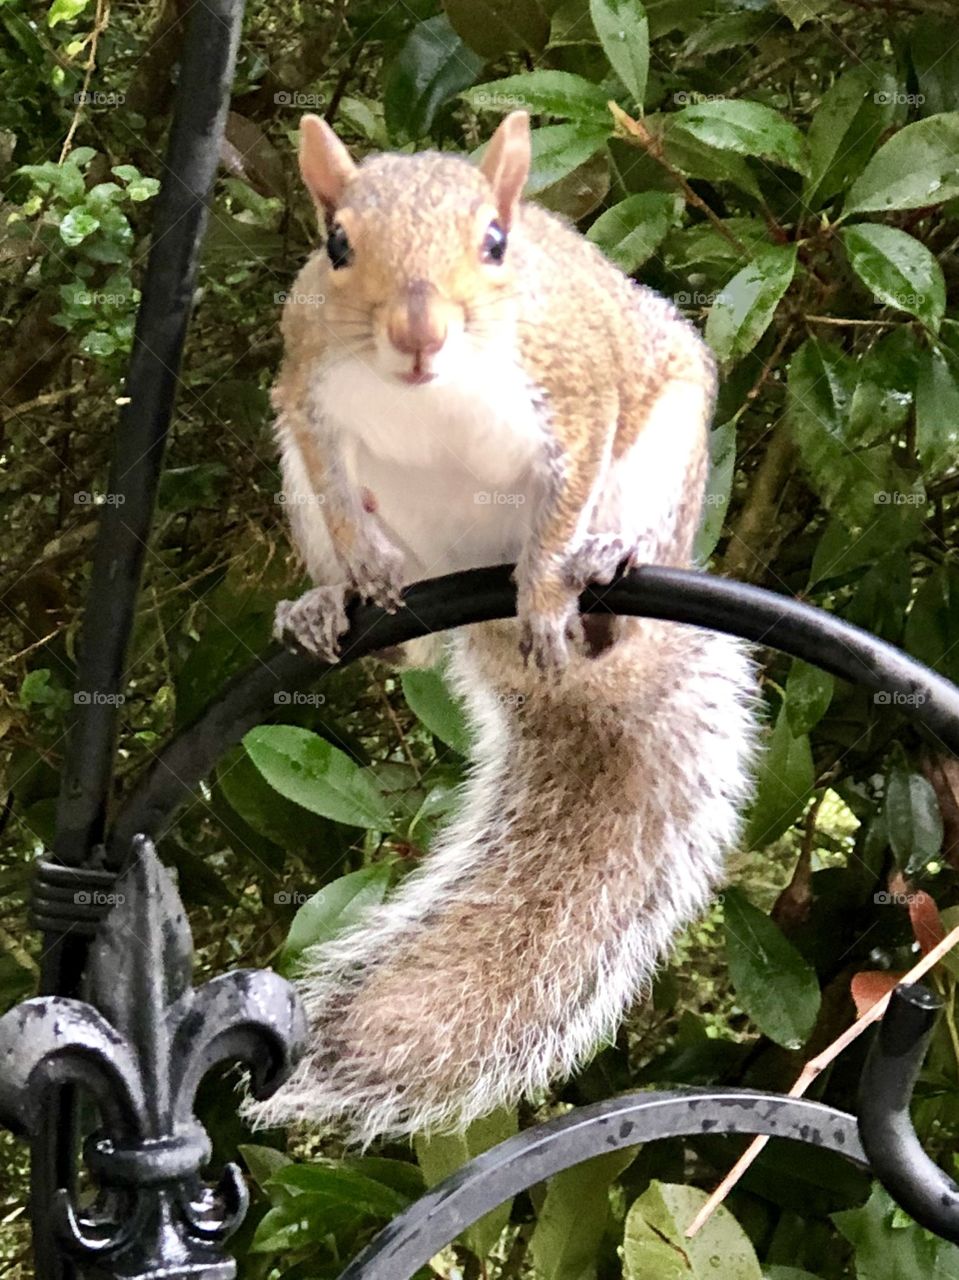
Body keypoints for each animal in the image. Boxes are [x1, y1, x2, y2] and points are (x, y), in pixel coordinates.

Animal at [250, 111, 757, 1146]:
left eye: (494, 242)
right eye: (336, 245)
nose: (417, 333)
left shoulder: (576, 389)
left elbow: (560, 502)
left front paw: (548, 586)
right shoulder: (304, 397)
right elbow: (335, 483)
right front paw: (360, 568)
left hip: (663, 456)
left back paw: (603, 576)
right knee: (403, 639)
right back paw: (331, 605)